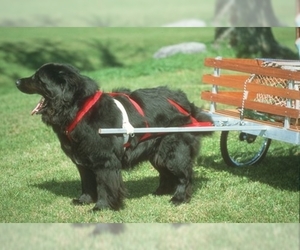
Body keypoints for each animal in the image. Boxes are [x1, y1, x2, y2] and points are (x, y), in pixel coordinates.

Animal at [16, 63, 212, 211]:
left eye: (37, 78)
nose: (17, 81)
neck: (78, 109)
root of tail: (185, 102)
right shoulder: (83, 162)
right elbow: (86, 183)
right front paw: (83, 200)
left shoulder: (105, 161)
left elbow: (104, 185)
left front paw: (101, 207)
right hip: (157, 152)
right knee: (166, 173)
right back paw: (160, 191)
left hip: (173, 151)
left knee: (185, 175)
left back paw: (179, 198)